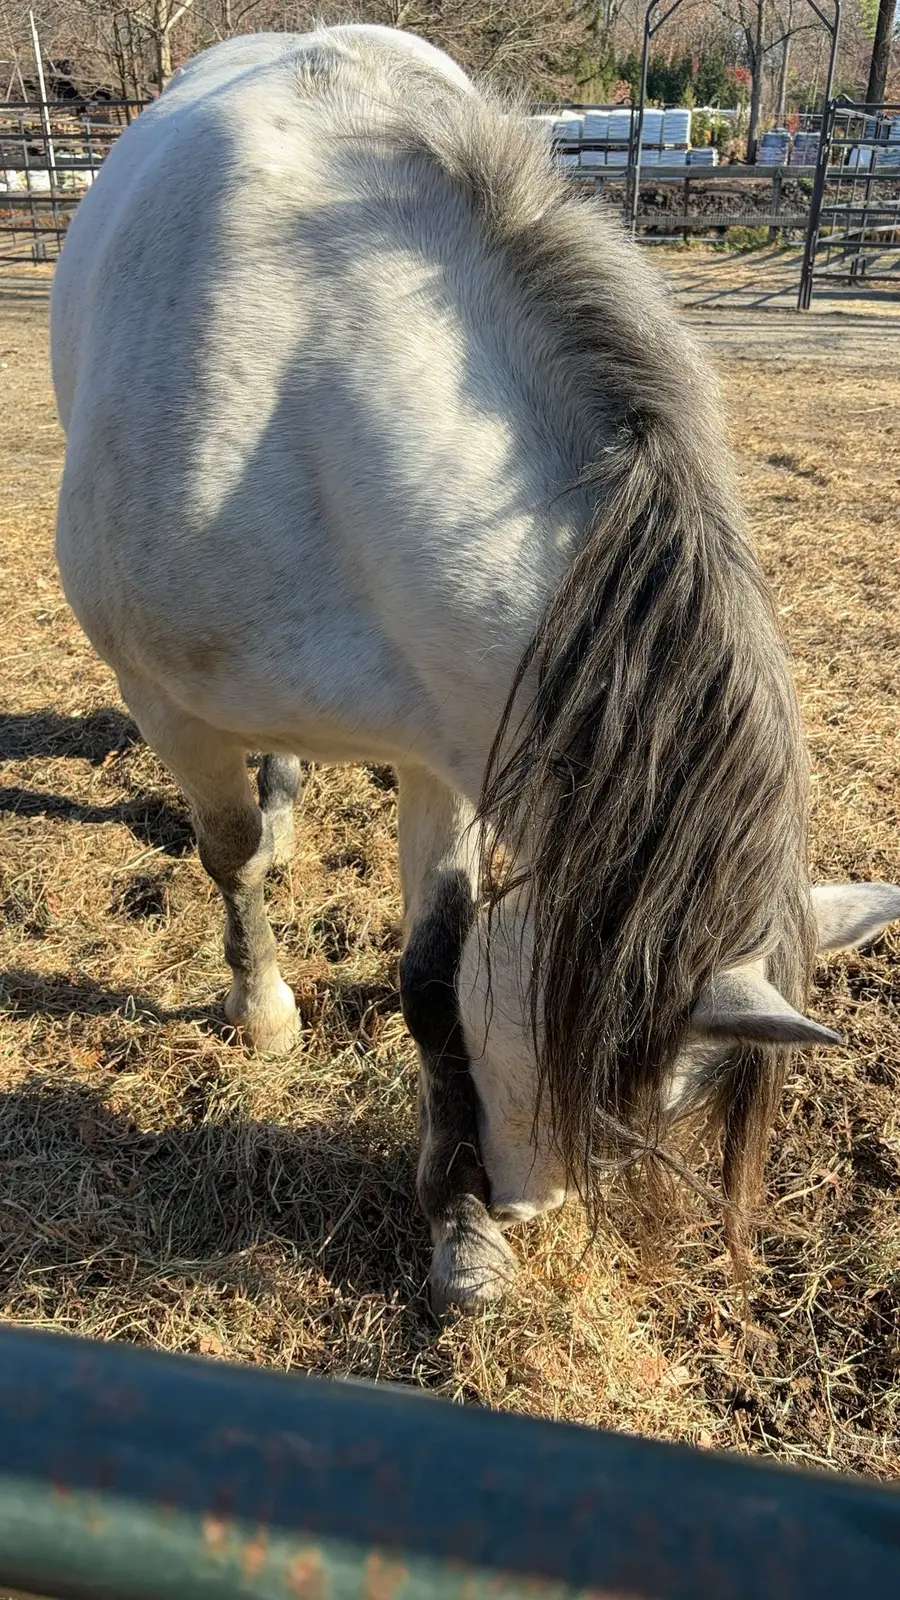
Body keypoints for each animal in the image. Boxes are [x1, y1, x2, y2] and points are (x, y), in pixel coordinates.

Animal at [50, 26, 900, 1313]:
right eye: (598, 1088)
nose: (525, 1201)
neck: (311, 391)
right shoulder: (166, 704)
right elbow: (228, 853)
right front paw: (264, 1011)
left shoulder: (448, 744)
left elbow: (435, 967)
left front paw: (460, 1233)